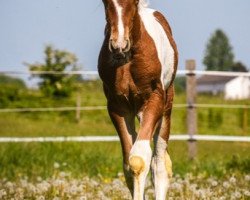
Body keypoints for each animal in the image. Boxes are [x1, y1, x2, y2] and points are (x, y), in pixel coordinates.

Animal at [97, 0, 178, 199]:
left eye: (132, 3)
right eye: (105, 3)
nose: (119, 45)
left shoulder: (154, 101)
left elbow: (140, 159)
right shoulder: (118, 107)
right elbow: (128, 164)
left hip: (165, 111)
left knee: (159, 164)